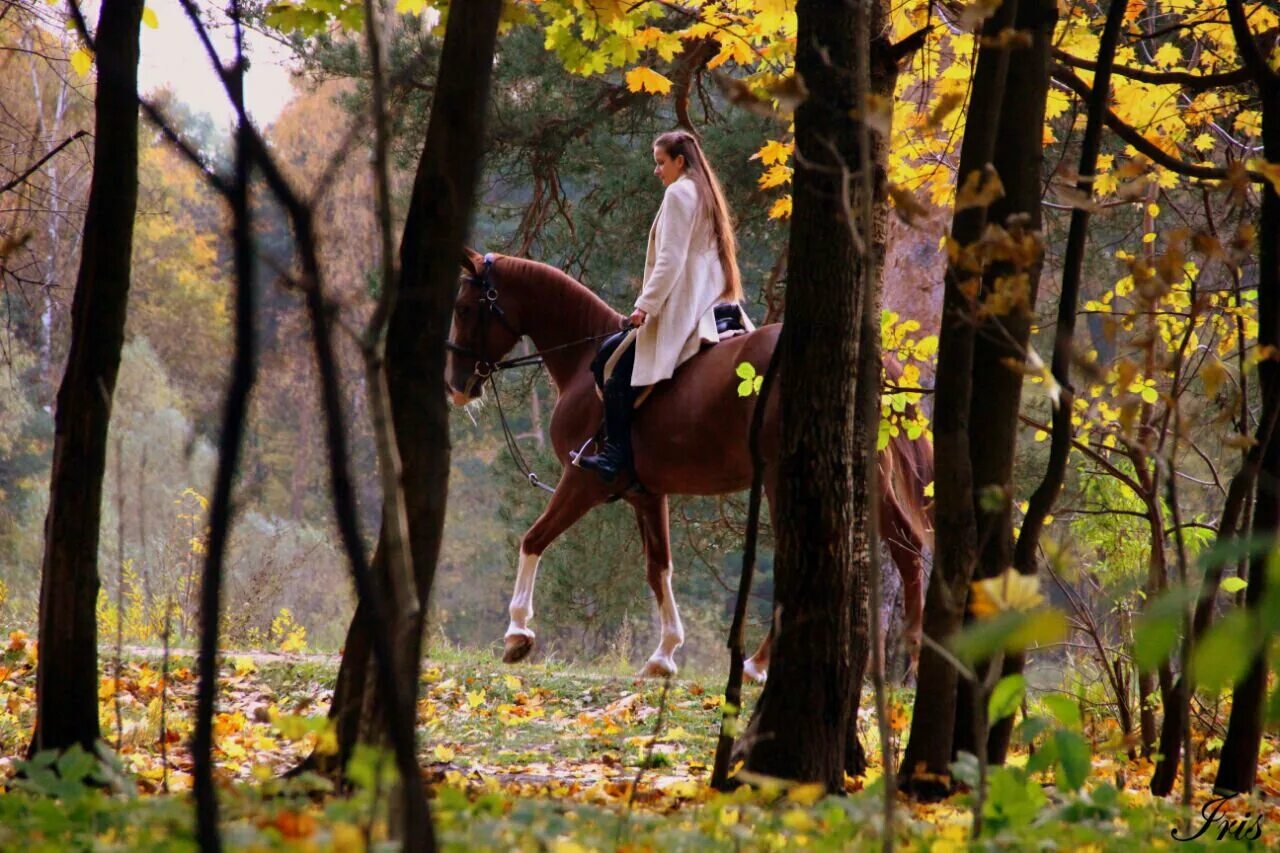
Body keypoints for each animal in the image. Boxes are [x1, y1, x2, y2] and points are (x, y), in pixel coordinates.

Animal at [442, 249, 931, 676]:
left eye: (464, 308)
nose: (455, 387)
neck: (584, 362)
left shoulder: (583, 481)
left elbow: (533, 539)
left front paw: (517, 634)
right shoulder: (645, 493)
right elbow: (658, 568)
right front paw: (664, 654)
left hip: (783, 477)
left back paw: (756, 665)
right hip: (868, 476)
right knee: (906, 548)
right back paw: (911, 653)